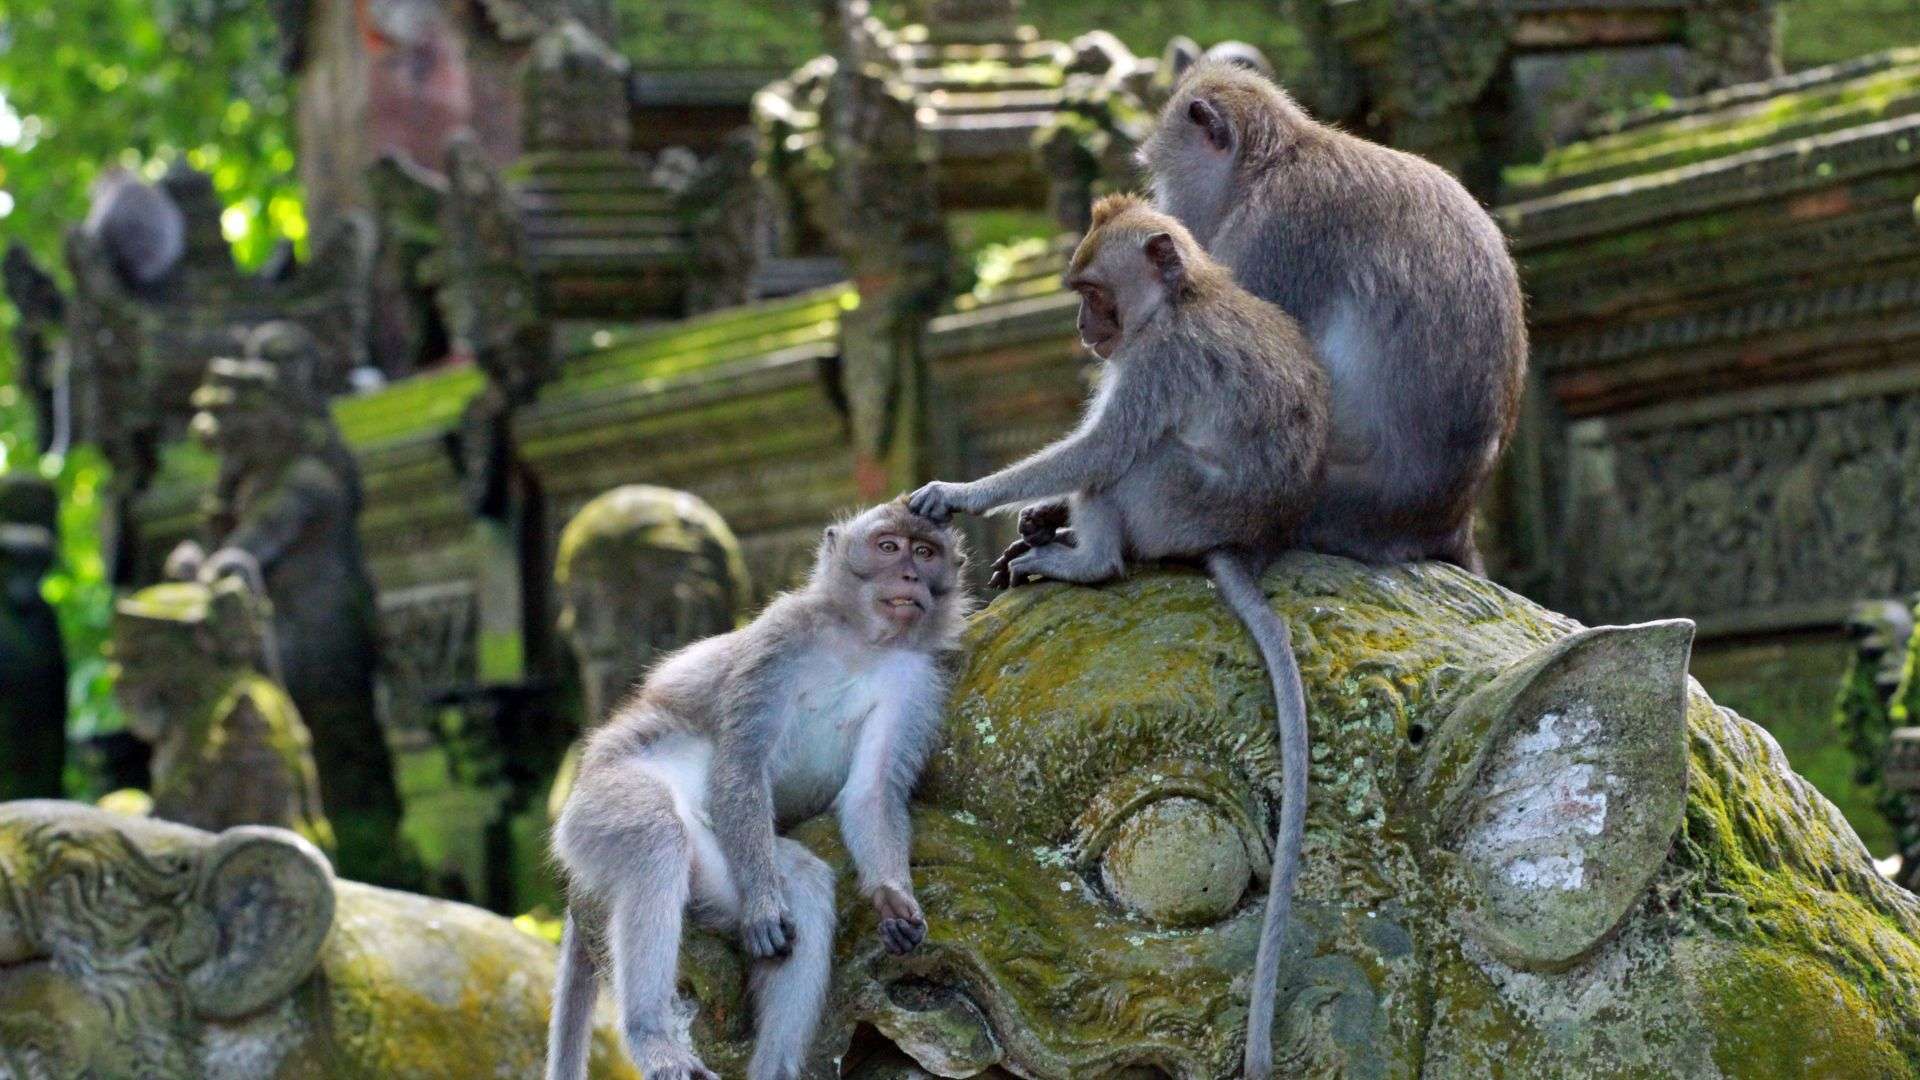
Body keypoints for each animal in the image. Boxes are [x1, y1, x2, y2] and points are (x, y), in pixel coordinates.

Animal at [546, 501, 970, 1080]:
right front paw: (768, 908)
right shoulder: (781, 638)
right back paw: (652, 1034)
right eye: (888, 547)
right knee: (656, 837)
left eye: (925, 552)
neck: (861, 643)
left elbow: (872, 793)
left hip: (718, 861)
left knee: (805, 885)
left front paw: (892, 897)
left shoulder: (918, 681)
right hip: (599, 806)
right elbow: (742, 762)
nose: (909, 576)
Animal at [907, 194, 1327, 1080]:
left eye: (1095, 291)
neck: (1181, 301)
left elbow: (1101, 447)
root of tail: (1244, 541)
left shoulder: (1157, 363)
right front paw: (1032, 513)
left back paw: (1087, 560)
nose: (1081, 325)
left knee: (1128, 461)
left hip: (1174, 502)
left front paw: (963, 493)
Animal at [1139, 60, 1528, 574]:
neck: (1272, 164)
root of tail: (1451, 520)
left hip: (1332, 504)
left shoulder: (1273, 234)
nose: (1165, 212)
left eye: (1162, 176)